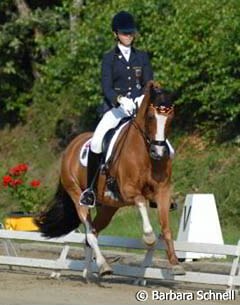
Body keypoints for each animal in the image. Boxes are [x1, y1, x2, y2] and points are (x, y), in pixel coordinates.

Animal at [36, 80, 186, 276]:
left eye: (171, 118)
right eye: (150, 117)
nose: (159, 152)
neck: (144, 154)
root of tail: (71, 146)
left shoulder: (163, 191)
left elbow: (166, 227)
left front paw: (175, 264)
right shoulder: (128, 190)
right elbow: (140, 202)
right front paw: (149, 237)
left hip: (108, 207)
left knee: (92, 235)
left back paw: (88, 272)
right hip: (77, 196)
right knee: (90, 233)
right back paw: (104, 266)